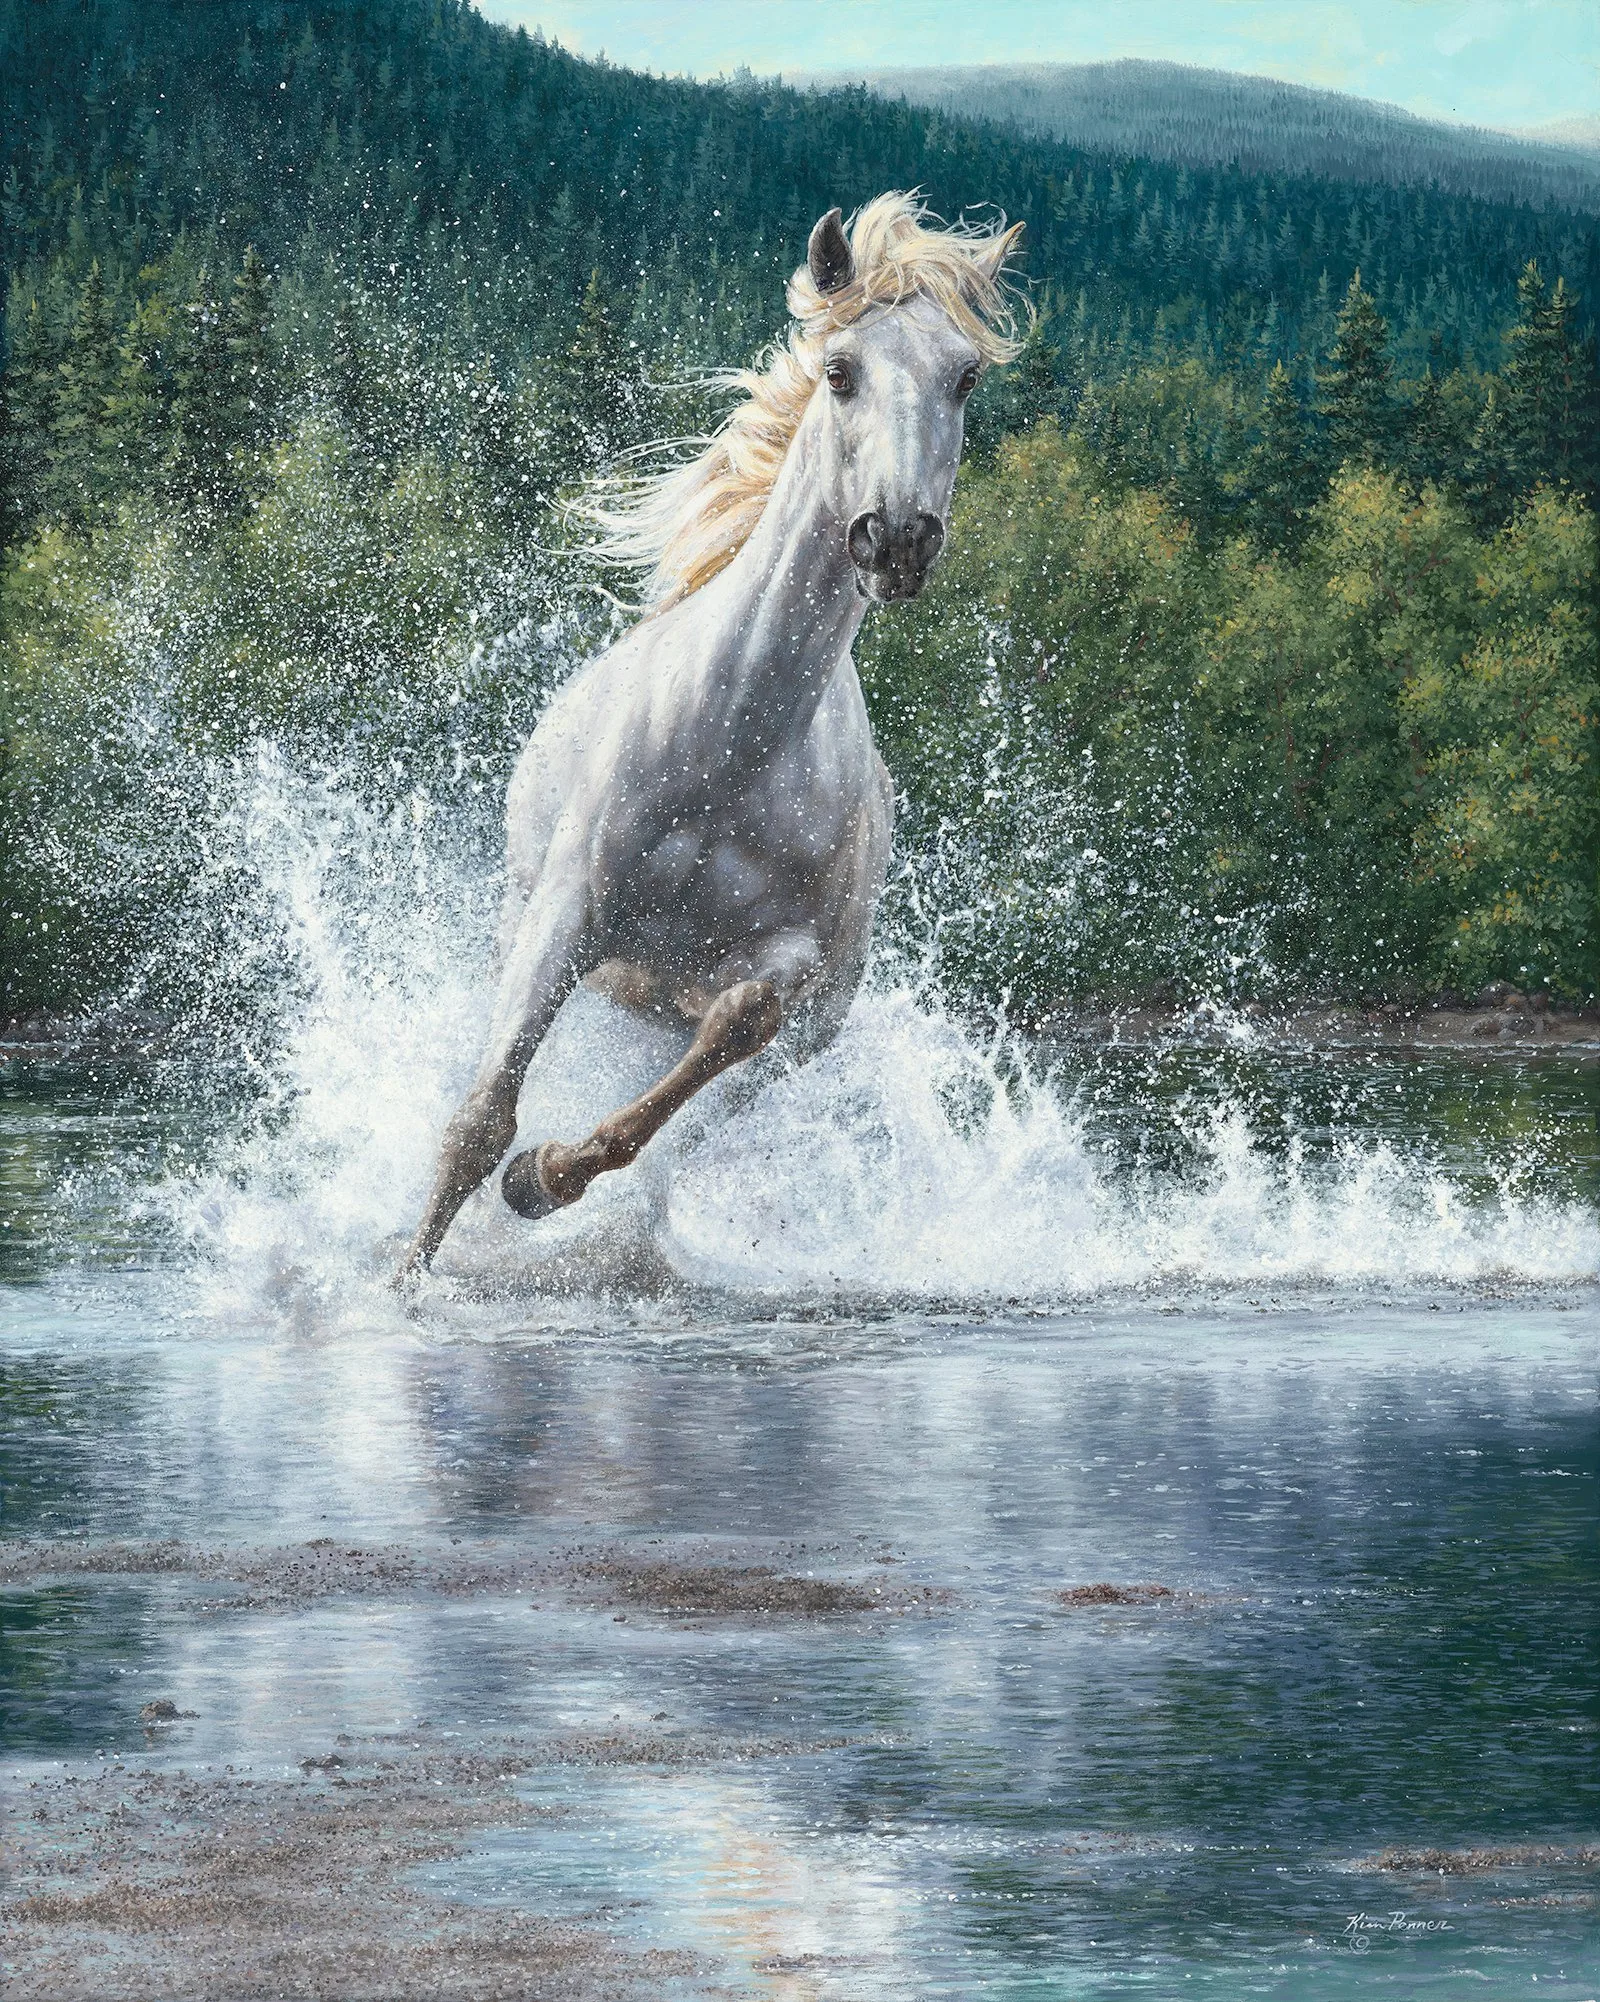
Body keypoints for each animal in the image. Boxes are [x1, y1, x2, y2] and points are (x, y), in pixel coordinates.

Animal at [401, 193, 1023, 1274]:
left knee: (678, 1141)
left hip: (780, 1035)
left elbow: (735, 1022)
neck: (733, 741)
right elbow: (480, 1118)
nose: (897, 539)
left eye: (965, 376)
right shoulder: (567, 911)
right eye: (839, 369)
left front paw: (538, 1179)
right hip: (529, 925)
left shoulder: (787, 975)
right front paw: (401, 1276)